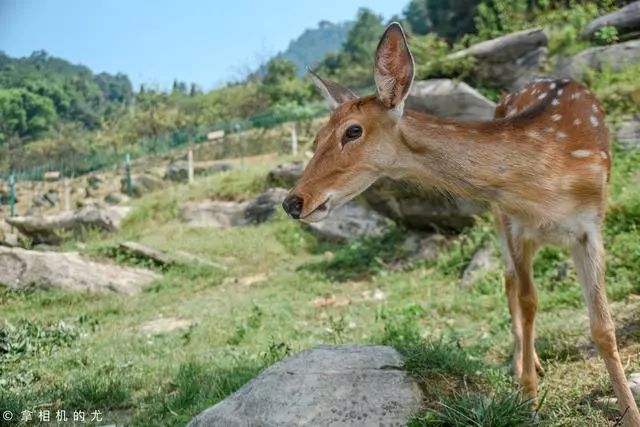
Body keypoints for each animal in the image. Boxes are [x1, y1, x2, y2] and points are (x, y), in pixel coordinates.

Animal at [282, 22, 640, 424]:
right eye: (315, 137)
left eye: (352, 131)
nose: (292, 201)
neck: (546, 186)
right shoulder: (515, 222)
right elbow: (529, 300)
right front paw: (529, 400)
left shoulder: (590, 226)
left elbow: (603, 326)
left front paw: (630, 412)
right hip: (498, 217)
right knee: (510, 281)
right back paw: (523, 363)